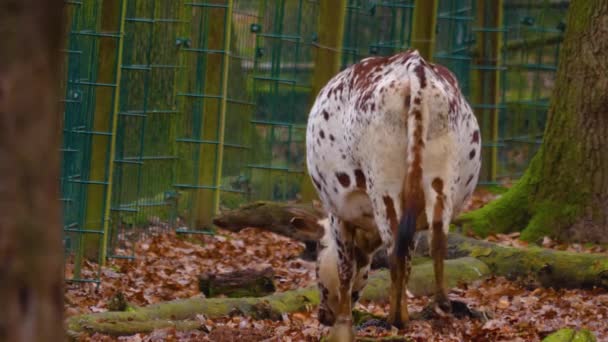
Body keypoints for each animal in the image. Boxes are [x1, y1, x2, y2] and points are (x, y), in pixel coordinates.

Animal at [306, 49, 482, 340]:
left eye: (318, 258)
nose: (323, 316)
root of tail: (416, 66)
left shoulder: (339, 213)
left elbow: (345, 270)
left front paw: (344, 325)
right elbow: (409, 255)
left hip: (383, 186)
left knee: (394, 252)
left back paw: (394, 319)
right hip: (441, 180)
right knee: (435, 240)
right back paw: (437, 307)